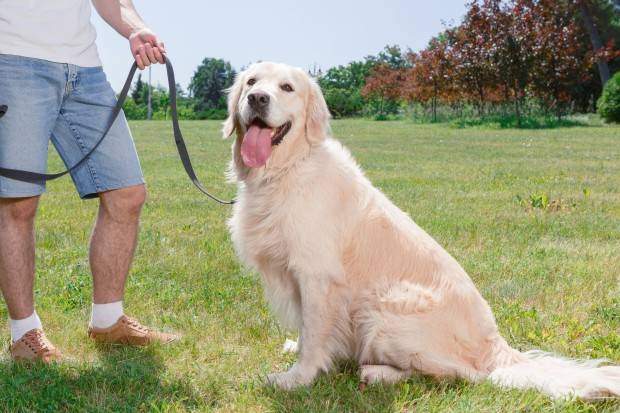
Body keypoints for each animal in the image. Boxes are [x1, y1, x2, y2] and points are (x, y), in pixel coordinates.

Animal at [223, 62, 620, 400]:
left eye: (287, 87)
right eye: (252, 82)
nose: (257, 99)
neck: (284, 171)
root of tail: (494, 346)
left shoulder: (318, 276)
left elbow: (314, 334)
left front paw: (296, 378)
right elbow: (307, 333)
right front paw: (298, 350)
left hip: (384, 307)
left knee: (463, 376)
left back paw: (377, 372)